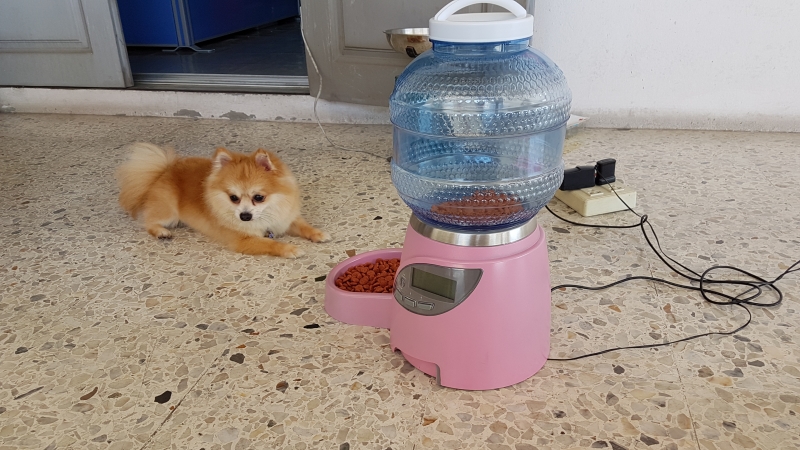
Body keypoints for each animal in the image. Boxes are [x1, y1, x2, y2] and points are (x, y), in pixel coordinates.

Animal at [116, 143, 329, 258]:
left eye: (258, 197)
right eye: (233, 198)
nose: (244, 216)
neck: (267, 215)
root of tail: (166, 170)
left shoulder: (284, 219)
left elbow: (303, 226)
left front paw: (318, 234)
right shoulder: (243, 240)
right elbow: (270, 244)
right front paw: (289, 248)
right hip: (168, 213)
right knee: (149, 221)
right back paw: (161, 232)